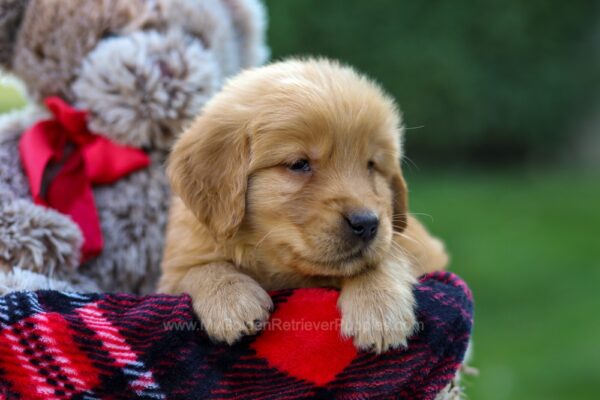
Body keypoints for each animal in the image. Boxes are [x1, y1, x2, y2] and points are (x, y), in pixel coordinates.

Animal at [157, 59, 448, 354]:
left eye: (371, 165)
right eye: (299, 164)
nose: (366, 223)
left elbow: (386, 257)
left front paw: (378, 309)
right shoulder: (176, 266)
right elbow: (198, 268)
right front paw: (230, 300)